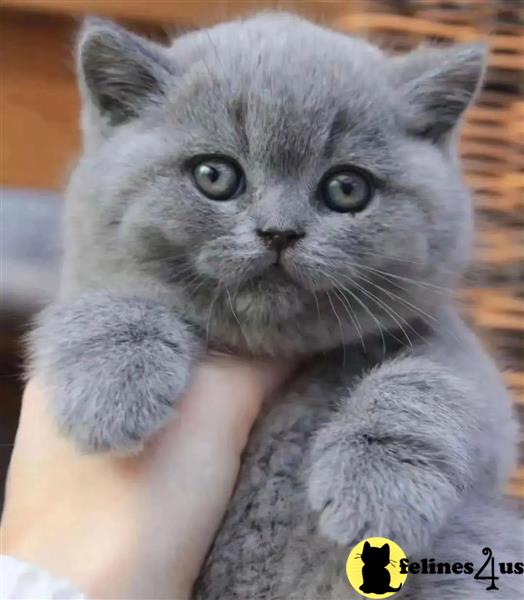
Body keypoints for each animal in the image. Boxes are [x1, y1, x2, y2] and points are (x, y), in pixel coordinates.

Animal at [29, 11, 524, 596]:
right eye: (214, 175)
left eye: (347, 188)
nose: (279, 232)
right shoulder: (85, 280)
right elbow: (103, 305)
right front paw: (112, 391)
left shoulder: (474, 385)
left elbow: (432, 380)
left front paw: (376, 487)